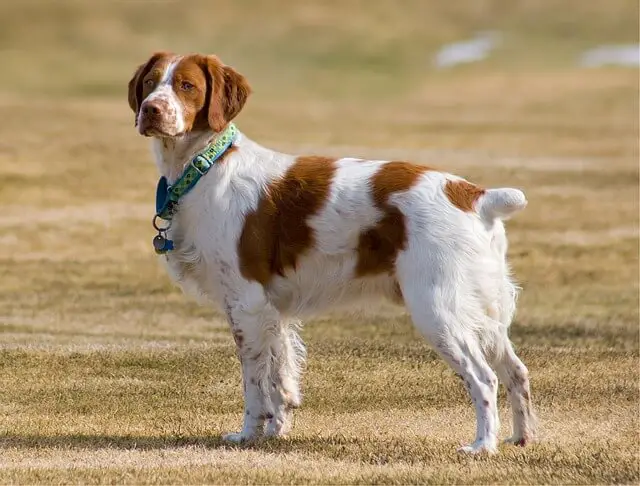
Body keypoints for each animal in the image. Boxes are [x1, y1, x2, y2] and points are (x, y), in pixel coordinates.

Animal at [126, 51, 536, 454]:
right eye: (150, 82)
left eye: (187, 86)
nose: (150, 110)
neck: (206, 167)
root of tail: (475, 196)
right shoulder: (273, 310)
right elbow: (280, 375)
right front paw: (276, 432)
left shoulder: (246, 303)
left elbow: (255, 383)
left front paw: (247, 435)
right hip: (483, 310)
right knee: (516, 371)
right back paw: (521, 438)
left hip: (438, 309)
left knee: (484, 378)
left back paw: (483, 445)